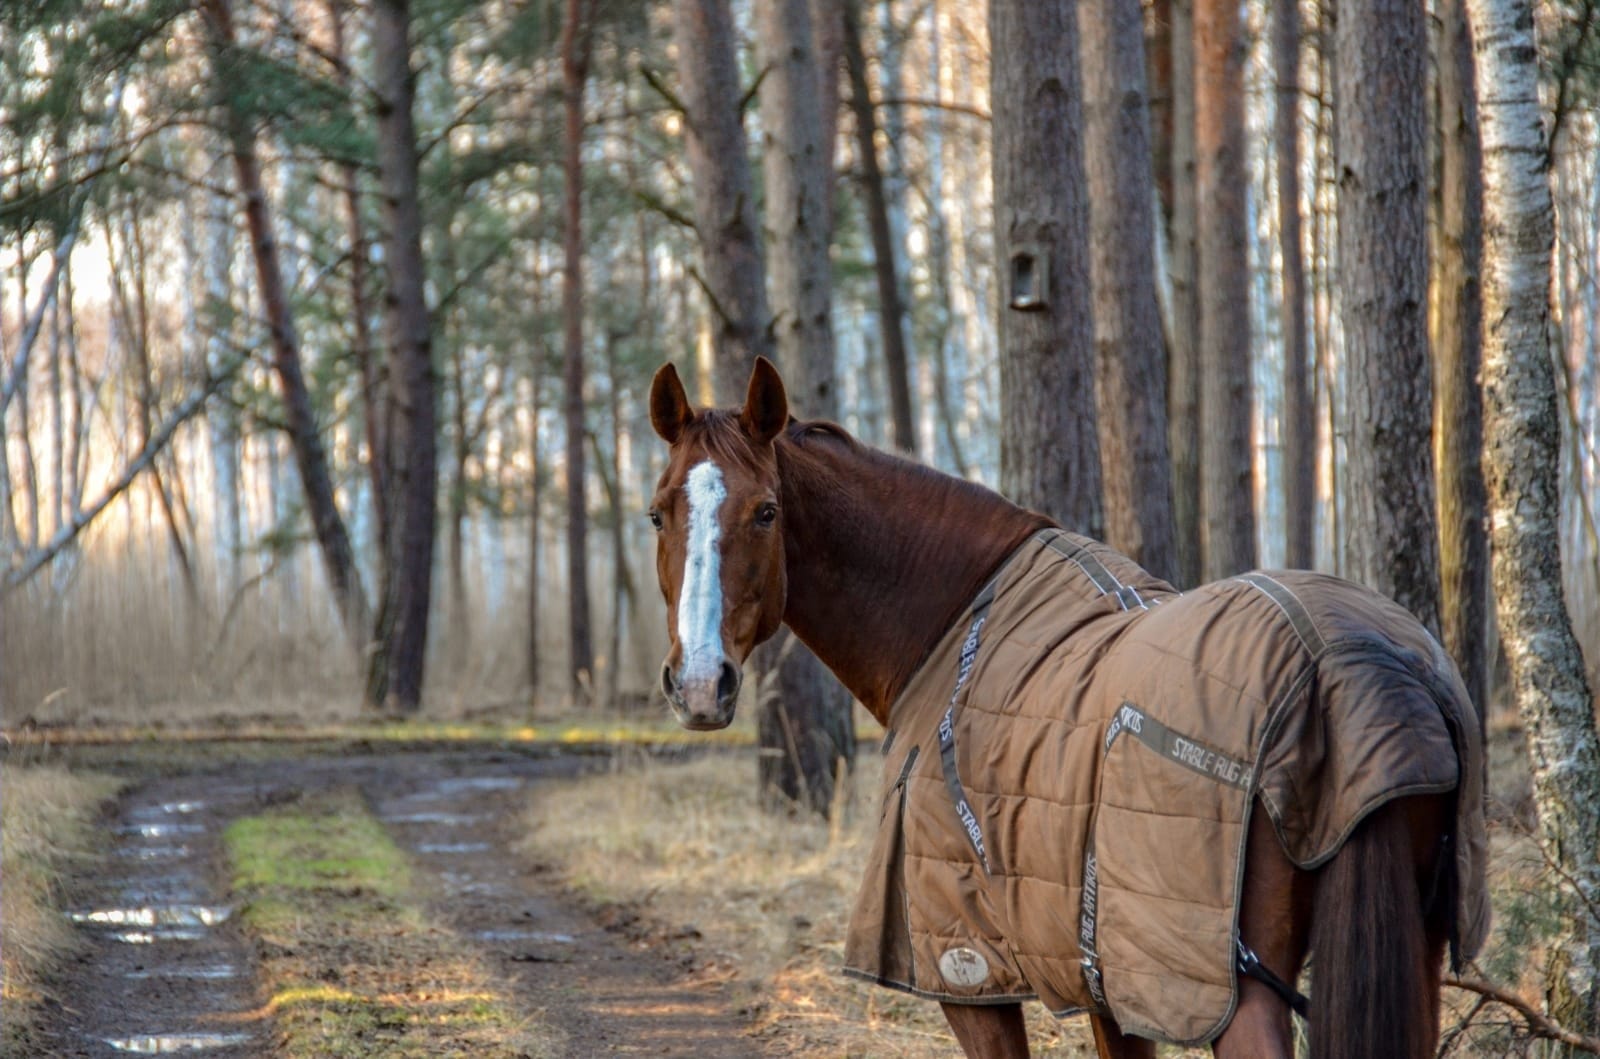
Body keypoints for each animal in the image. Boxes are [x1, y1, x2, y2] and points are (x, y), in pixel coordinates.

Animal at [646, 358, 1465, 1059]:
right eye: (657, 514)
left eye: (766, 512)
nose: (700, 683)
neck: (950, 619)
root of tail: (1356, 665)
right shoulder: (1099, 979)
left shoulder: (970, 975)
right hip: (1410, 958)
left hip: (1235, 996)